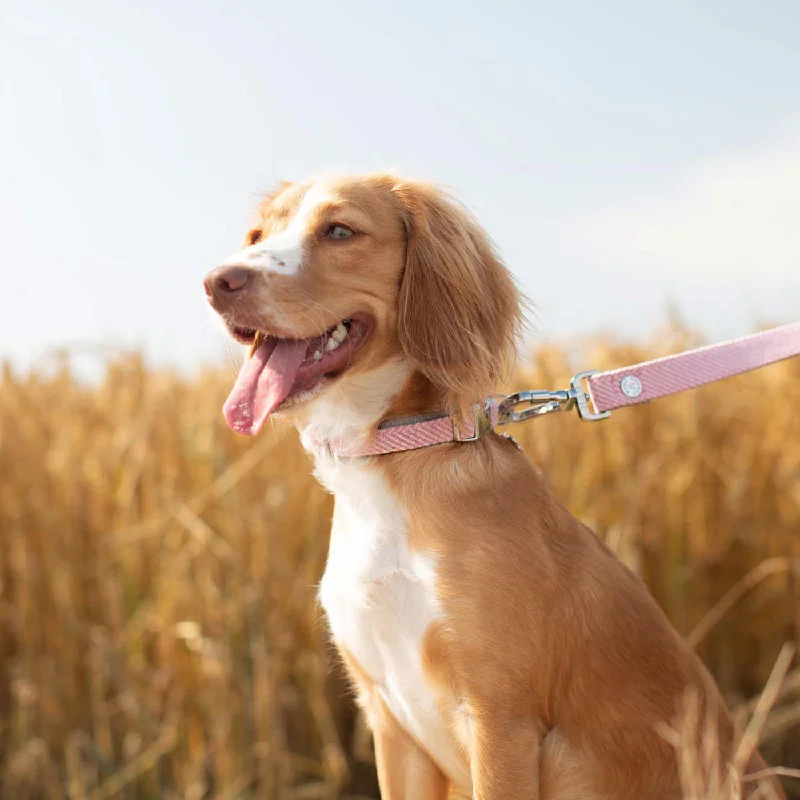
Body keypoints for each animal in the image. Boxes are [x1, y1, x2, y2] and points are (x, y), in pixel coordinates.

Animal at [203, 175, 784, 800]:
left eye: (339, 231)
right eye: (256, 236)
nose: (217, 282)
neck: (395, 462)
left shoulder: (499, 719)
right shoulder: (390, 724)